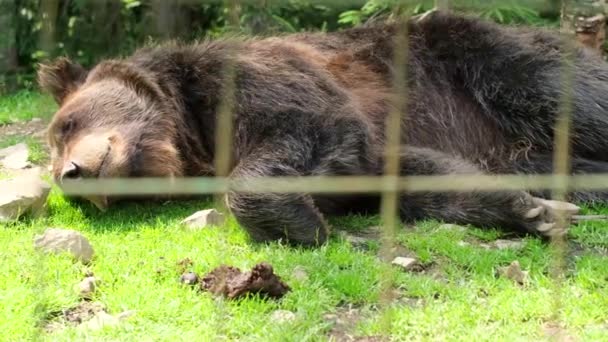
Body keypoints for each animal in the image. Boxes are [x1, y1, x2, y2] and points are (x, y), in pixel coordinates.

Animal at [39, 11, 608, 246]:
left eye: (66, 124)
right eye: (56, 147)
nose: (71, 175)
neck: (190, 131)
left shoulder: (260, 83)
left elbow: (309, 129)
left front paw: (301, 225)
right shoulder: (385, 149)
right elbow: (424, 175)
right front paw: (537, 212)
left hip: (486, 62)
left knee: (565, 92)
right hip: (519, 144)